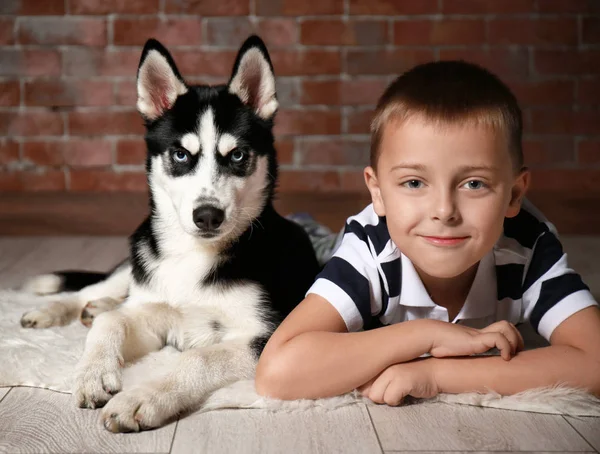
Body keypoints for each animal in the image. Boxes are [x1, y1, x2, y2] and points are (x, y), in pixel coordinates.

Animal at [17, 36, 318, 432]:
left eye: (238, 156)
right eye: (180, 155)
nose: (208, 216)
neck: (195, 255)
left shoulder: (270, 336)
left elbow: (198, 358)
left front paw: (144, 398)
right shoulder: (156, 309)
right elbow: (113, 322)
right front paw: (92, 372)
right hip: (136, 264)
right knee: (95, 291)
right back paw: (57, 310)